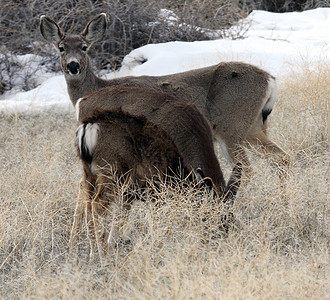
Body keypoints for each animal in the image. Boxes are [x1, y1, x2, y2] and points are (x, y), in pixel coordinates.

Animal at [40, 14, 290, 177]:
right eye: (61, 48)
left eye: (84, 47)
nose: (73, 66)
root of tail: (270, 80)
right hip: (254, 127)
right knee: (281, 158)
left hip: (232, 126)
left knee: (247, 169)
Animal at [71, 86, 242, 255]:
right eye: (211, 218)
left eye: (231, 222)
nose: (217, 247)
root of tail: (82, 104)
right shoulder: (156, 187)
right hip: (114, 171)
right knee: (97, 203)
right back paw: (100, 252)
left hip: (91, 171)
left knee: (86, 195)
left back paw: (87, 247)